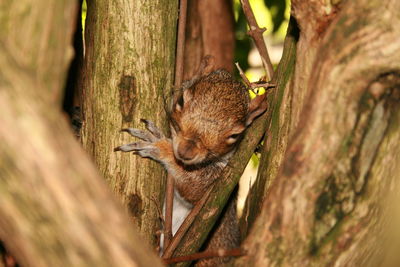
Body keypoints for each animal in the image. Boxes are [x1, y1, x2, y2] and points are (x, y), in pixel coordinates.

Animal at [114, 57, 268, 266]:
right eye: (180, 101)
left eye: (235, 135)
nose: (186, 151)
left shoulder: (221, 189)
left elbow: (196, 189)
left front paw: (161, 147)